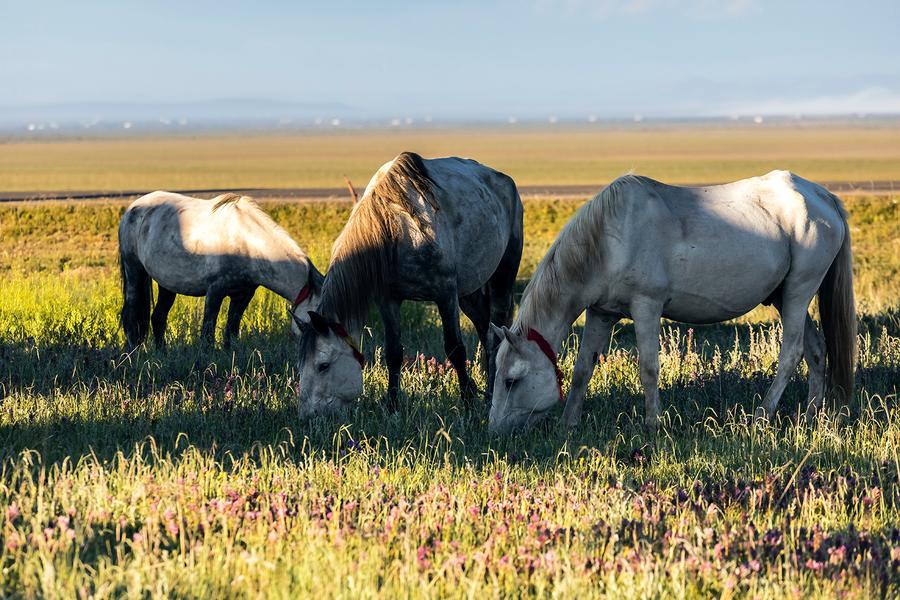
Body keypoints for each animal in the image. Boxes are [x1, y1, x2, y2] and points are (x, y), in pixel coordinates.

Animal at [118, 191, 324, 352]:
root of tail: (131, 209)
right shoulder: (215, 292)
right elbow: (207, 333)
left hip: (167, 284)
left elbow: (231, 332)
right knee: (131, 317)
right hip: (134, 271)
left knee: (158, 317)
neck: (247, 242)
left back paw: (163, 354)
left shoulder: (243, 295)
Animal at [488, 171, 856, 434]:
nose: (494, 431)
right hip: (785, 297)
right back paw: (810, 416)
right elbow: (582, 370)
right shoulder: (601, 313)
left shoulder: (646, 307)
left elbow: (649, 368)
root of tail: (822, 197)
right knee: (816, 350)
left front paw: (654, 424)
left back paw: (762, 417)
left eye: (511, 381)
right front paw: (569, 424)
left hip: (798, 291)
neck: (608, 239)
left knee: (791, 353)